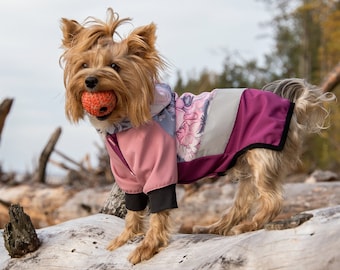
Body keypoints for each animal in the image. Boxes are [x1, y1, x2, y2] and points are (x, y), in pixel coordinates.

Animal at [59, 7, 336, 264]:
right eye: (84, 65)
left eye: (114, 66)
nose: (90, 80)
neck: (124, 121)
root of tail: (291, 103)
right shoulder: (128, 177)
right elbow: (133, 209)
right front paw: (125, 238)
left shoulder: (160, 171)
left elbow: (158, 209)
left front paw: (148, 246)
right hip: (246, 160)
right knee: (243, 200)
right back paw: (218, 226)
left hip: (262, 156)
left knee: (272, 200)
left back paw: (247, 226)